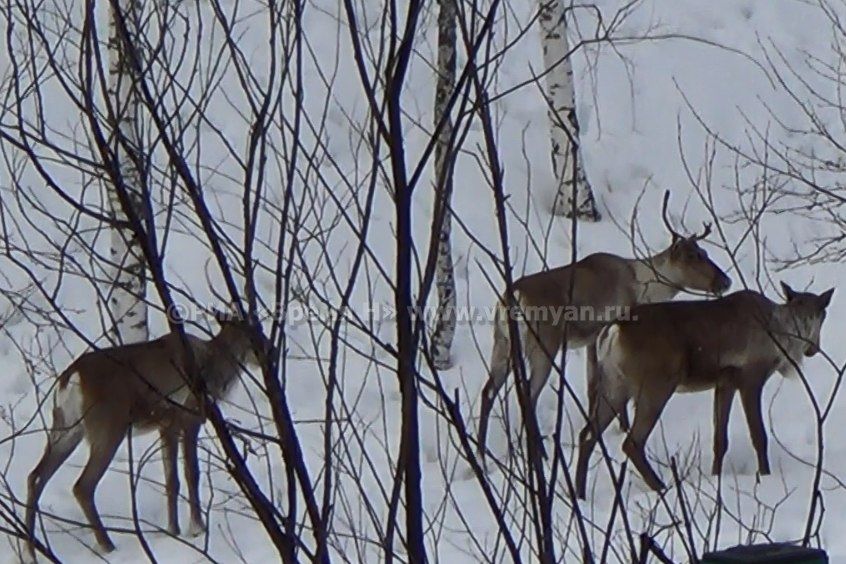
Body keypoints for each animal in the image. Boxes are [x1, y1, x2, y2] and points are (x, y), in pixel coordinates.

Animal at [25, 310, 268, 556]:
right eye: (253, 333)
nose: (268, 353)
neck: (212, 369)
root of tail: (71, 380)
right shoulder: (188, 416)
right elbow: (191, 473)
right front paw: (198, 528)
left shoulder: (165, 424)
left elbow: (171, 479)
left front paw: (173, 529)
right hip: (108, 427)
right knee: (82, 485)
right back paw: (108, 545)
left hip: (66, 428)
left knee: (35, 476)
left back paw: (30, 550)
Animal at [476, 193, 736, 462]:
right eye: (693, 255)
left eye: (704, 251)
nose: (725, 281)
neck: (643, 287)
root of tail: (512, 296)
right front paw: (622, 426)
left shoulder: (592, 339)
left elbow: (592, 387)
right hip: (542, 344)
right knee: (528, 392)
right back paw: (541, 453)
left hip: (503, 343)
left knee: (488, 391)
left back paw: (481, 452)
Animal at [576, 284, 836, 500]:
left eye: (820, 315)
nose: (812, 348)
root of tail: (612, 332)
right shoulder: (751, 379)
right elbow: (758, 435)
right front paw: (764, 475)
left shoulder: (725, 382)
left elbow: (720, 439)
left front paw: (716, 476)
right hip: (656, 385)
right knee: (631, 442)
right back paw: (662, 487)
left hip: (614, 385)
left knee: (587, 435)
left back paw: (579, 494)